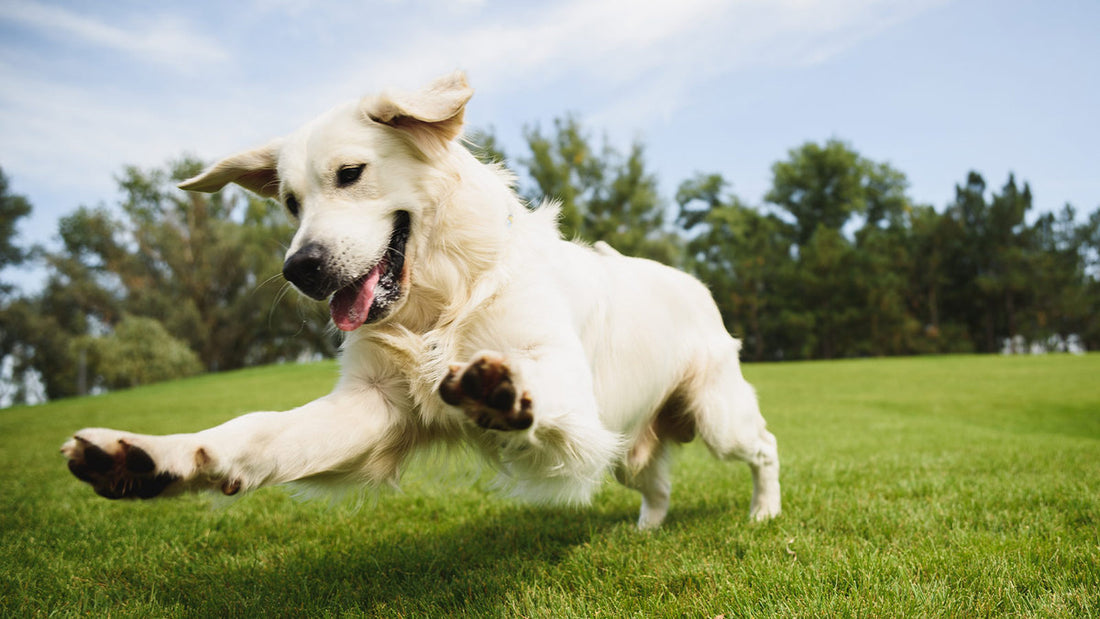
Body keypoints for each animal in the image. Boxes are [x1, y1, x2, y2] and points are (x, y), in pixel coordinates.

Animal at [62, 71, 783, 527]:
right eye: (290, 202)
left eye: (350, 173)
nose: (300, 268)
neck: (442, 301)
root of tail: (693, 282)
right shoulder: (372, 406)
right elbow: (255, 431)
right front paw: (151, 458)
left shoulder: (574, 398)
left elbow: (535, 384)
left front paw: (500, 390)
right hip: (629, 445)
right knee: (655, 484)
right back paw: (644, 530)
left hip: (718, 415)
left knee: (766, 444)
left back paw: (764, 512)